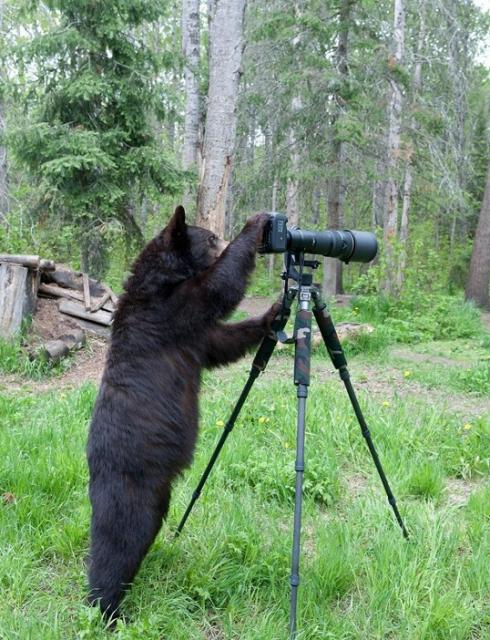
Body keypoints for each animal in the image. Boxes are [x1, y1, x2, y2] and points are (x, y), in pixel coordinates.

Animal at [85, 208, 276, 616]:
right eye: (212, 238)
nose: (222, 235)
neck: (162, 279)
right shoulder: (171, 312)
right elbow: (217, 288)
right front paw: (255, 225)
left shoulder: (195, 333)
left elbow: (222, 341)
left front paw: (274, 313)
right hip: (131, 488)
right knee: (118, 542)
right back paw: (107, 607)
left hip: (157, 493)